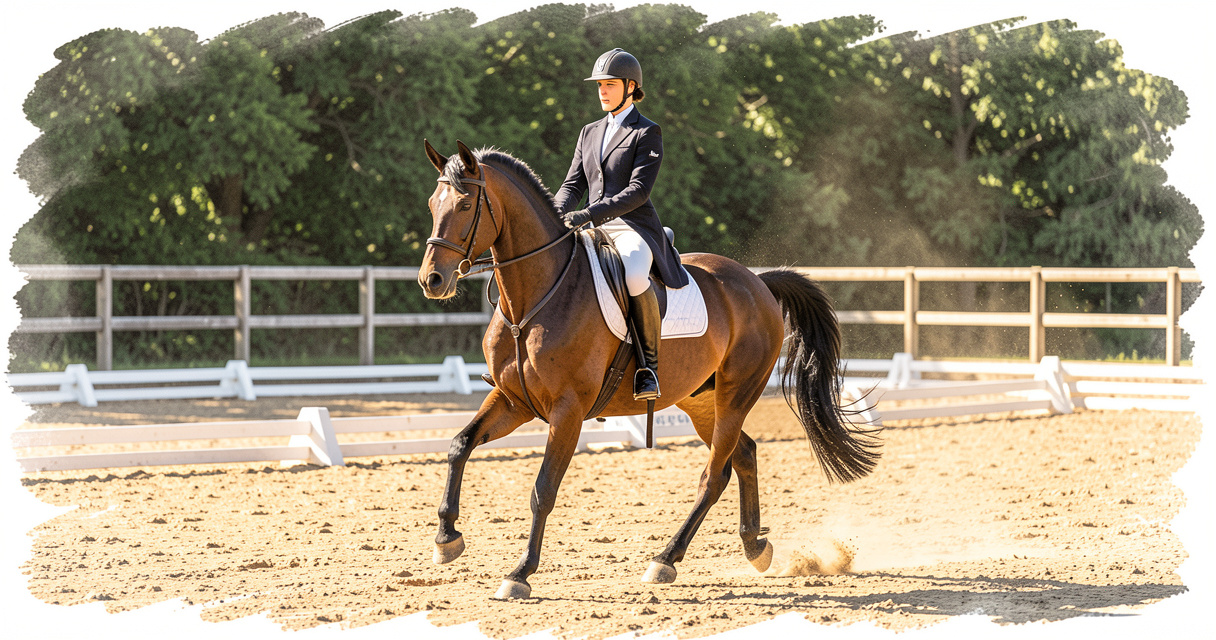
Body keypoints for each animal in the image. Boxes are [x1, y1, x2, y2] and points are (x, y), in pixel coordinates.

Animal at [418, 140, 881, 599]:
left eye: (465, 204)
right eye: (432, 203)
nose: (432, 280)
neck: (534, 300)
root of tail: (758, 283)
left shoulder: (567, 411)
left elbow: (543, 489)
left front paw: (520, 573)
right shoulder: (514, 400)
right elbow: (459, 445)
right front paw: (446, 539)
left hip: (736, 394)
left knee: (714, 476)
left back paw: (666, 559)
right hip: (701, 401)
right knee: (744, 454)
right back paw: (754, 545)